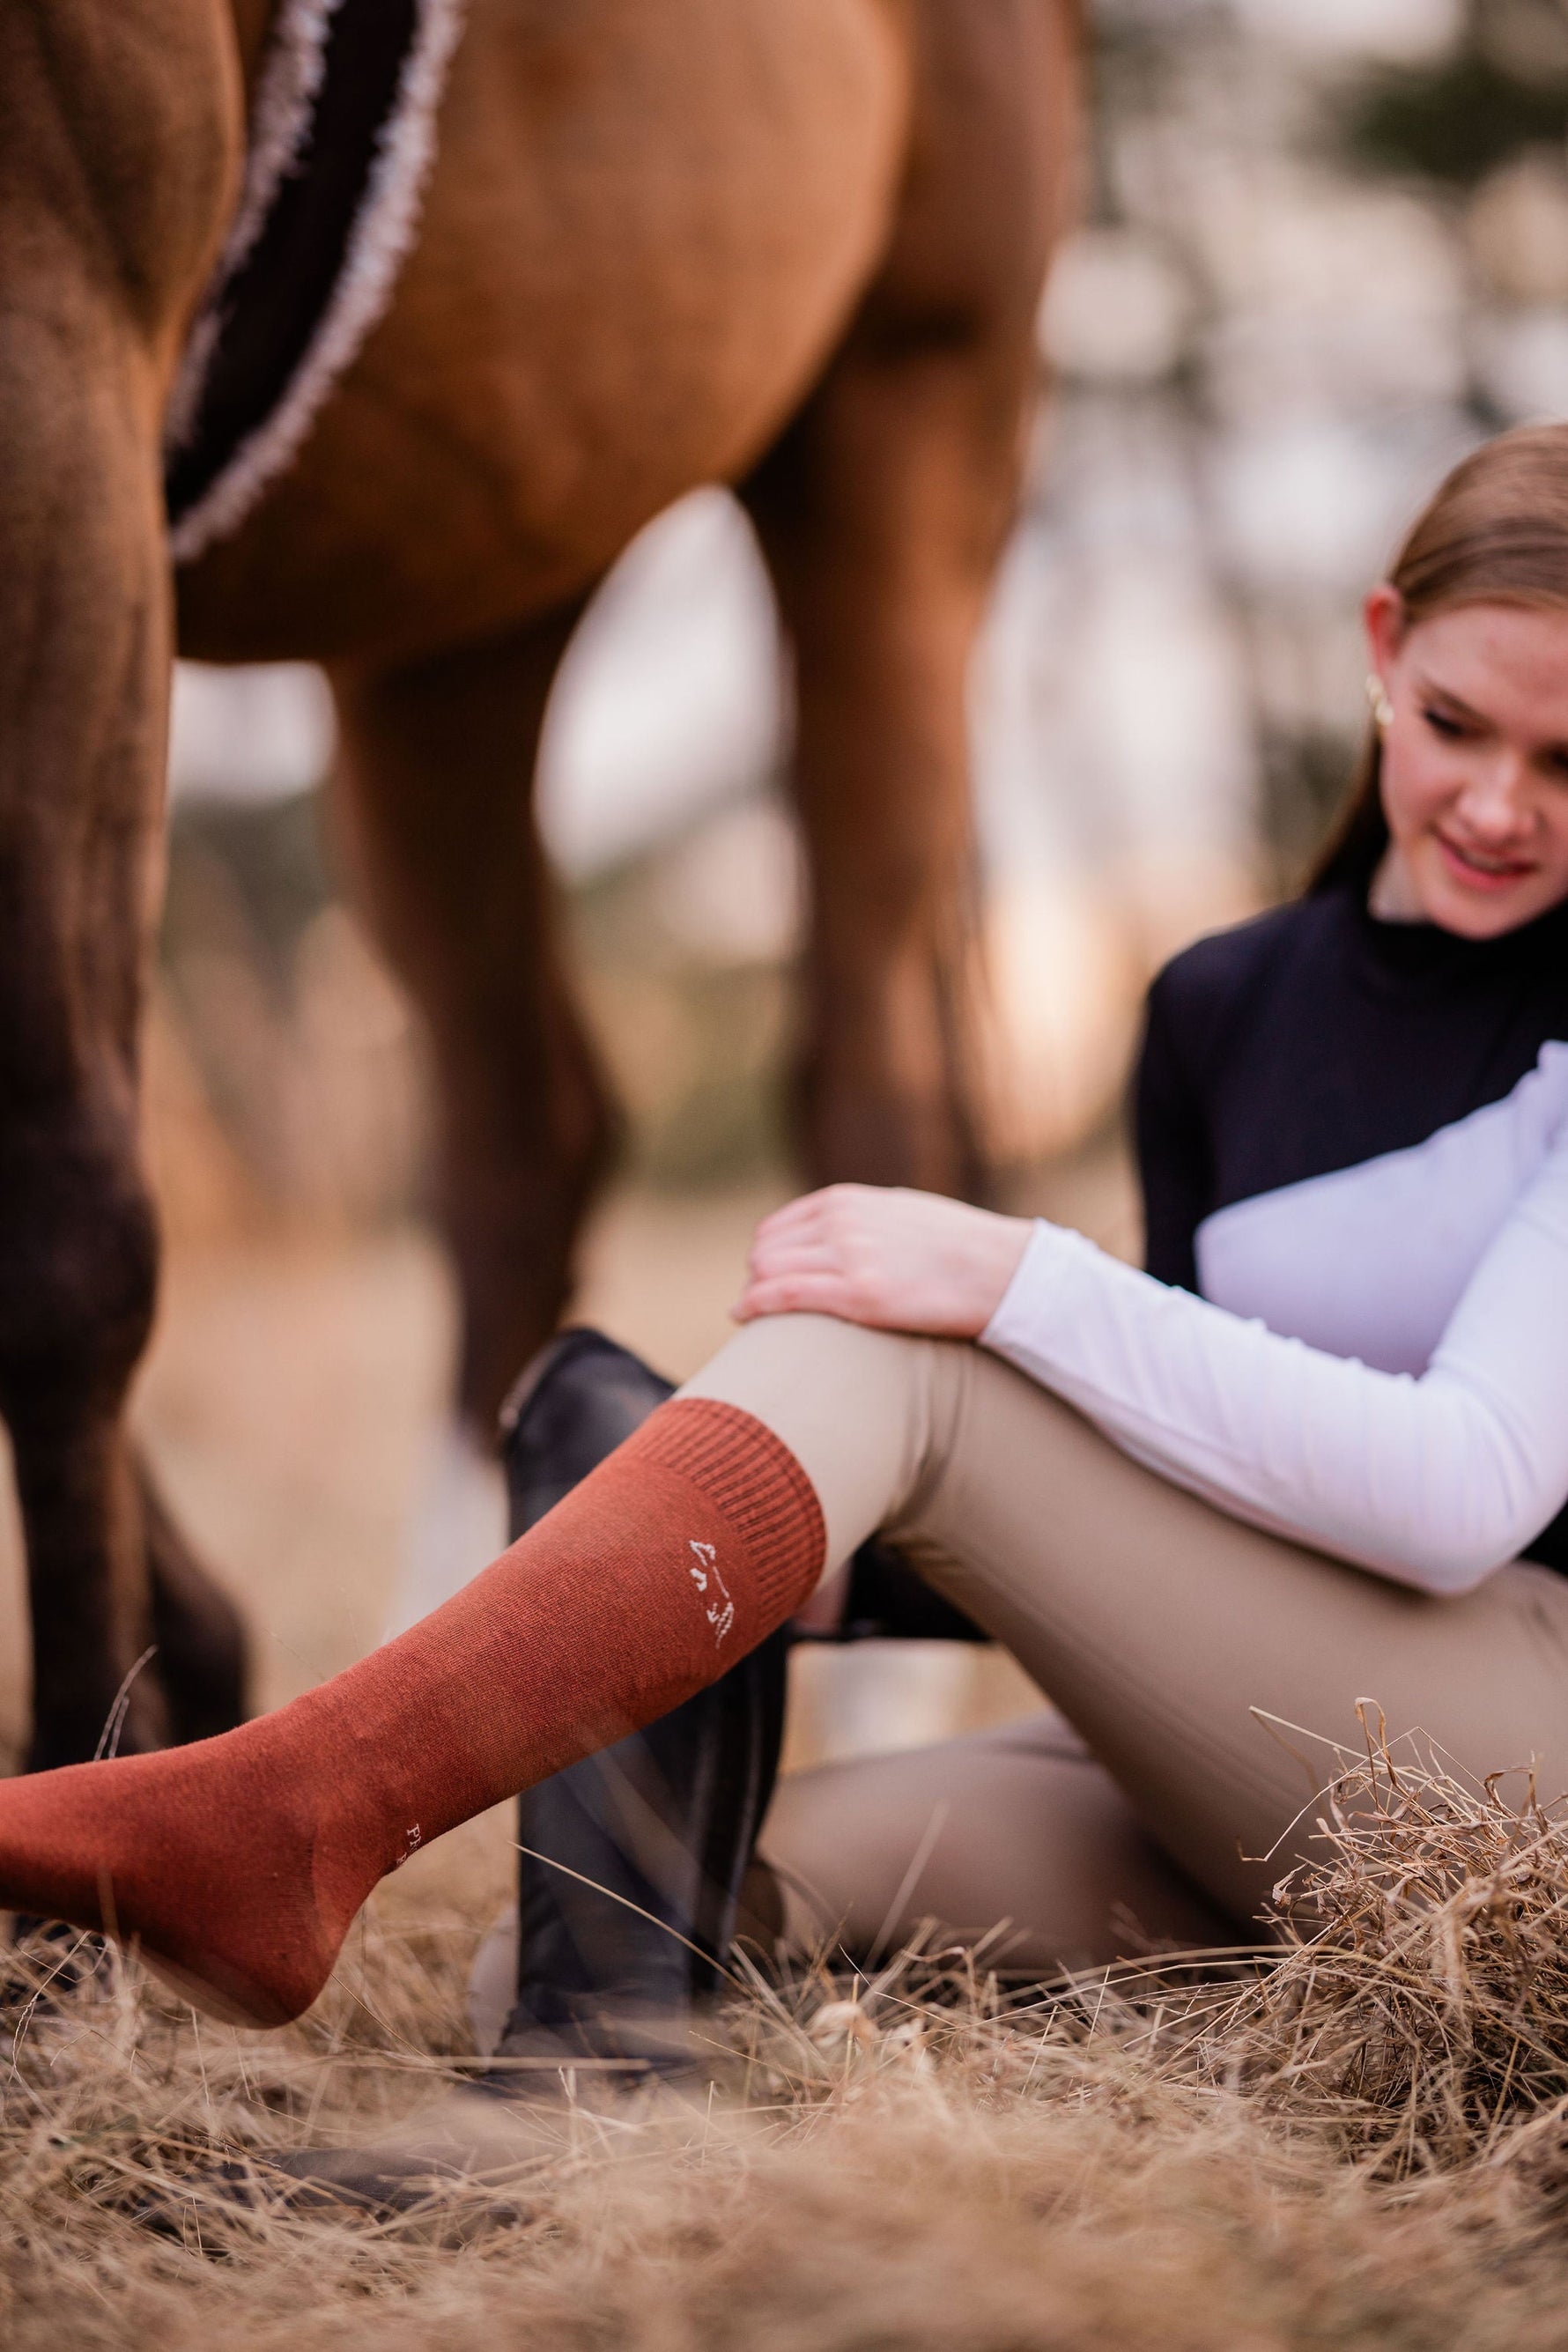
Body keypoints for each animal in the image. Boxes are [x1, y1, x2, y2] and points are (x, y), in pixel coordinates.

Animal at [0, 0, 1080, 1770]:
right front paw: (188, 1677)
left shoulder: (60, 358)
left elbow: (62, 1228)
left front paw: (91, 1785)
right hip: (458, 598)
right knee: (527, 1135)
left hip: (898, 426)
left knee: (876, 1094)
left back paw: (875, 1731)